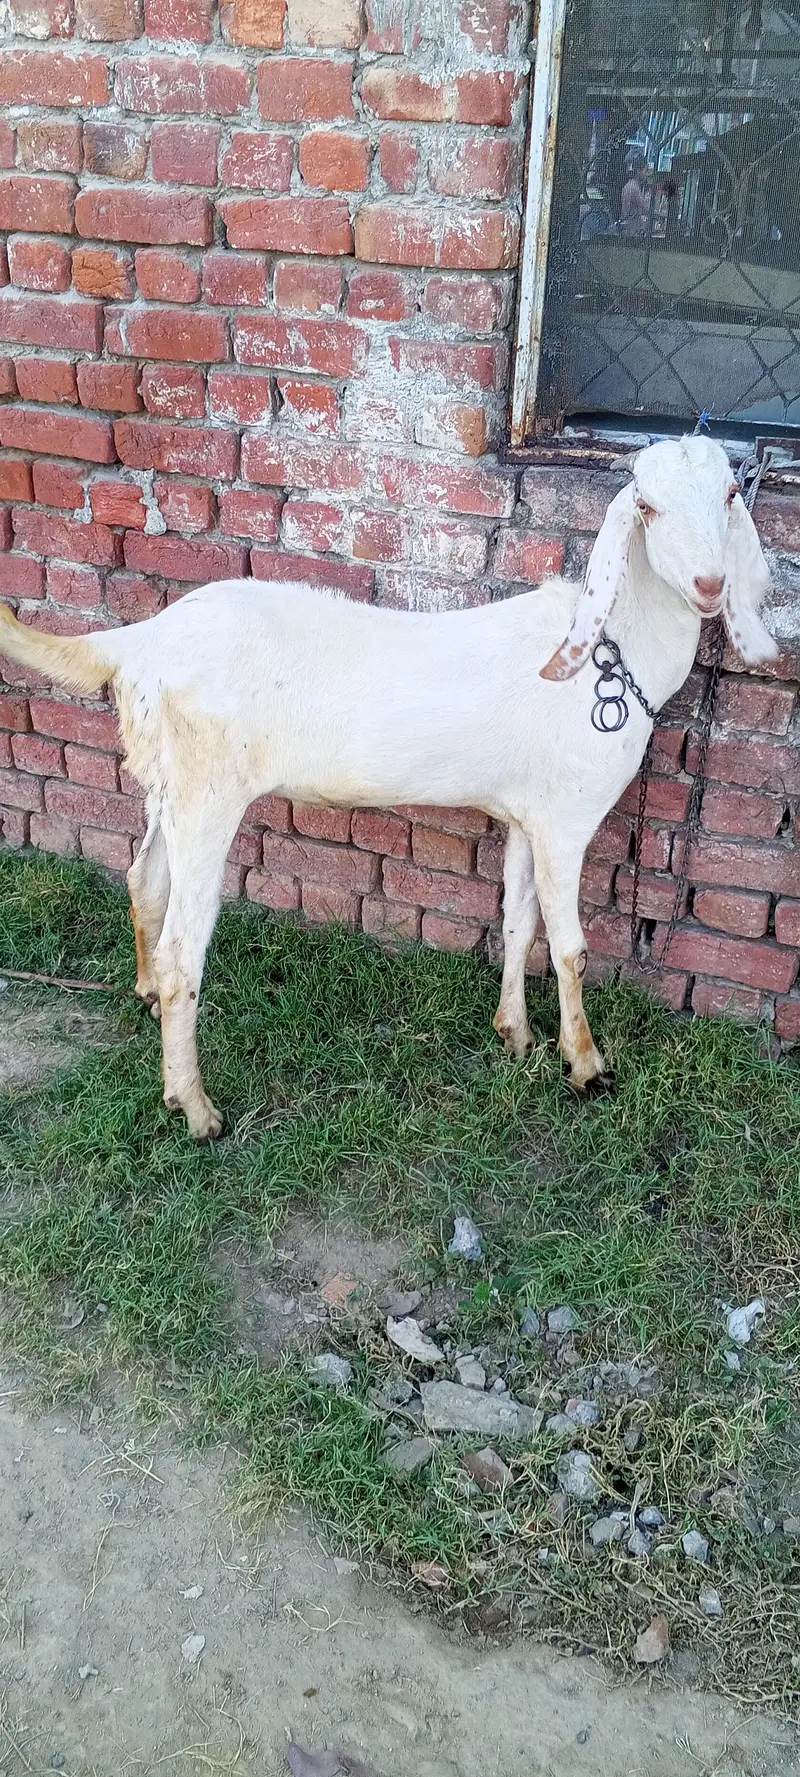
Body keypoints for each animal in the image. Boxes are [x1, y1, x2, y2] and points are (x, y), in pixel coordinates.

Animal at [0, 436, 778, 1139]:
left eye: (730, 495)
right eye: (647, 505)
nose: (711, 586)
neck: (610, 652)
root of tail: (144, 640)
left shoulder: (526, 815)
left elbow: (518, 922)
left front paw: (515, 1035)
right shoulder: (566, 821)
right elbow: (570, 947)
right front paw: (585, 1065)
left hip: (168, 782)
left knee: (144, 878)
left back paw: (145, 1001)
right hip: (207, 792)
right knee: (181, 950)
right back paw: (194, 1107)